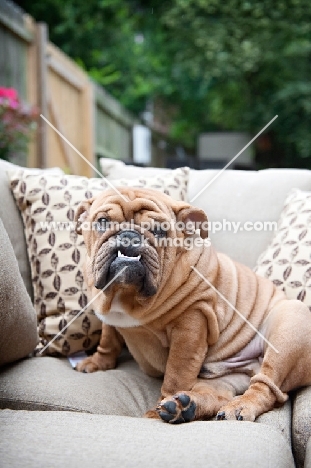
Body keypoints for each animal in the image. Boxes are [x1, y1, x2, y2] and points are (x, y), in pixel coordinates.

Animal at [74, 187, 311, 424]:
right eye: (102, 221)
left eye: (159, 231)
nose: (129, 235)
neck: (126, 294)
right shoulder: (108, 314)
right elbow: (108, 339)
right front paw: (98, 362)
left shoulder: (191, 324)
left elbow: (176, 373)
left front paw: (158, 409)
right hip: (225, 378)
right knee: (217, 395)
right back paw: (186, 406)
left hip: (288, 325)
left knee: (267, 387)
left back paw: (234, 406)